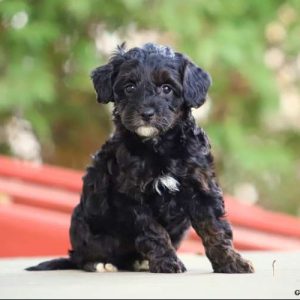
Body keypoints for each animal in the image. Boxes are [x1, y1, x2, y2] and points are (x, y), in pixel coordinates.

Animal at [27, 42, 253, 274]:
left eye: (167, 88)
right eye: (129, 87)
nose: (146, 113)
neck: (159, 145)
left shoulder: (202, 187)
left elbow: (215, 228)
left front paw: (231, 261)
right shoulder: (131, 196)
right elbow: (153, 230)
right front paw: (166, 262)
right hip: (82, 226)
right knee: (81, 256)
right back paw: (101, 264)